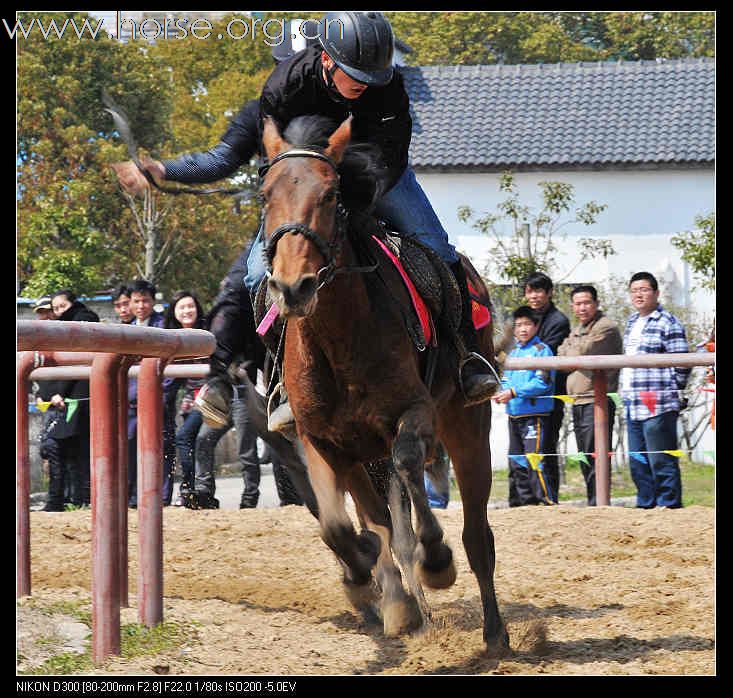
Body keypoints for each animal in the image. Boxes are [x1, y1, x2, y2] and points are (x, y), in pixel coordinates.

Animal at [258, 114, 508, 652]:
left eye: (331, 195)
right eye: (265, 194)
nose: (292, 287)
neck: (339, 341)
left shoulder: (416, 413)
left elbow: (411, 467)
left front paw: (436, 560)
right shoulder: (320, 440)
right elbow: (339, 526)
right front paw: (360, 577)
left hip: (467, 426)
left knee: (477, 533)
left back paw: (495, 632)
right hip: (358, 453)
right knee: (378, 521)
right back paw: (397, 601)